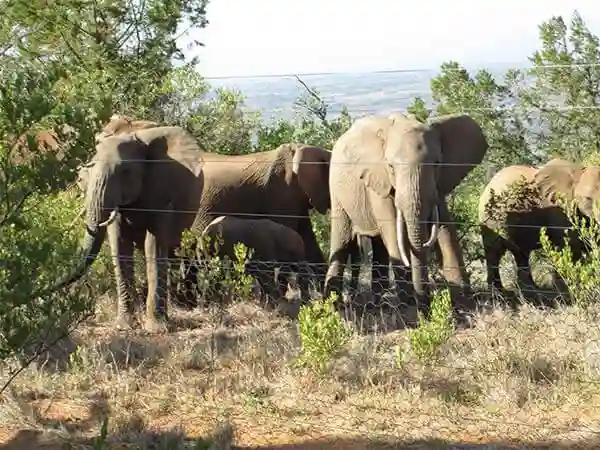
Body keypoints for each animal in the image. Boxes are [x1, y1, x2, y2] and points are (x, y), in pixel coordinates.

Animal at [63, 125, 204, 332]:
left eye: (126, 171)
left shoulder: (161, 191)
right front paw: (124, 326)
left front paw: (155, 329)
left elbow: (154, 246)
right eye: (89, 169)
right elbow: (119, 244)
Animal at [328, 112, 488, 312]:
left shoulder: (437, 185)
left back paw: (376, 304)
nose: (425, 310)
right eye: (390, 167)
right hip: (337, 191)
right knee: (341, 238)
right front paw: (408, 307)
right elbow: (394, 232)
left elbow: (446, 229)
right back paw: (334, 305)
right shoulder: (378, 180)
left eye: (437, 163)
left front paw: (465, 305)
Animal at [478, 158, 600, 292]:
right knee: (496, 252)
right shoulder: (558, 209)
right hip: (491, 218)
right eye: (588, 199)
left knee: (519, 254)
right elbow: (570, 247)